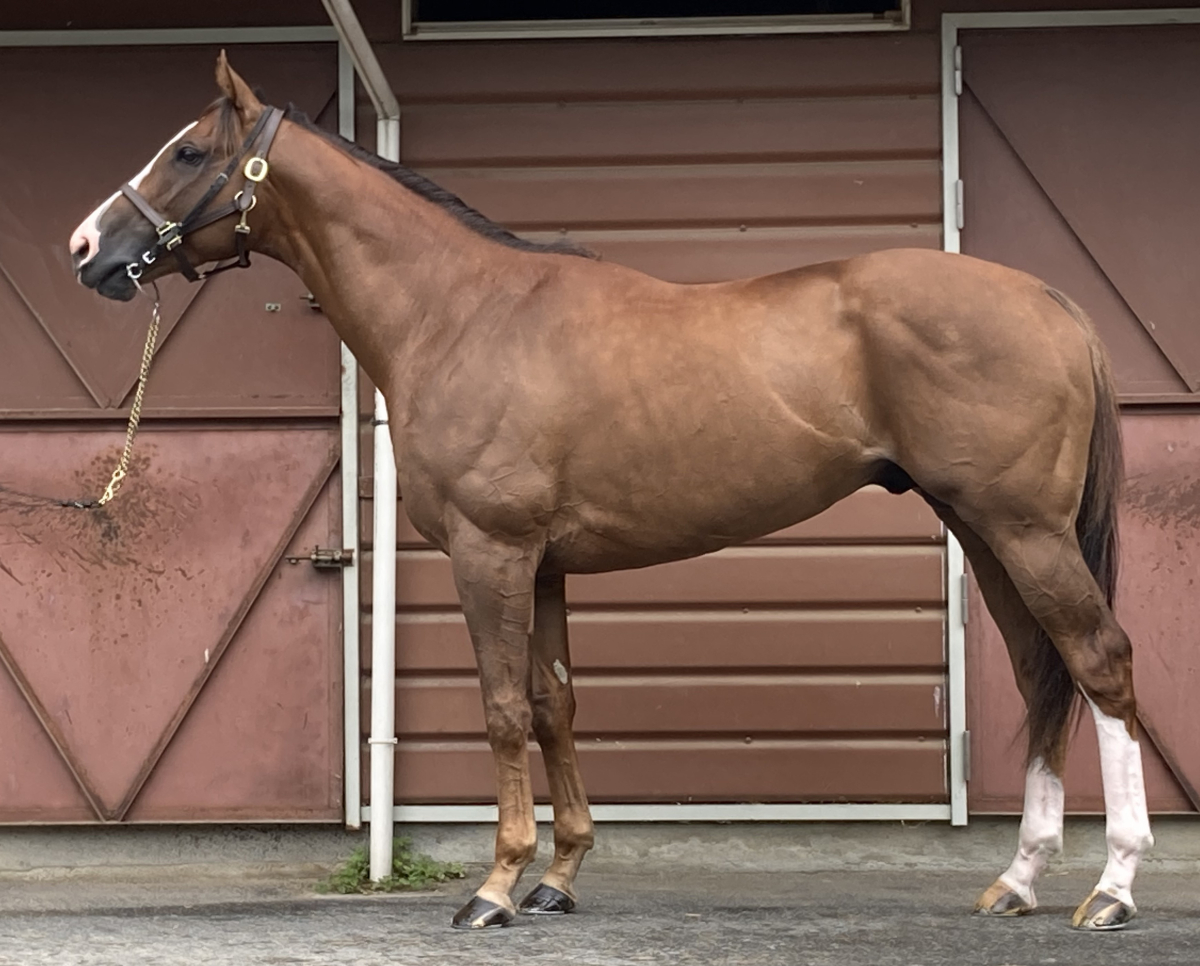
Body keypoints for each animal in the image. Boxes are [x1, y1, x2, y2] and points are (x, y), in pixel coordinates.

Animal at [68, 56, 1152, 931]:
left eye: (187, 150)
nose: (84, 248)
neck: (460, 312)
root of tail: (1049, 300)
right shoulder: (543, 565)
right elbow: (556, 704)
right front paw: (559, 879)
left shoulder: (491, 551)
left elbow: (503, 708)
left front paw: (495, 889)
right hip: (985, 530)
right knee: (1041, 674)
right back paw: (1018, 882)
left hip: (1024, 529)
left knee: (1099, 662)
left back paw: (1113, 889)